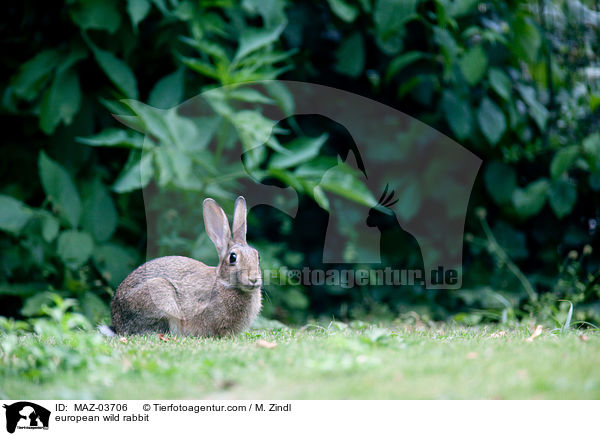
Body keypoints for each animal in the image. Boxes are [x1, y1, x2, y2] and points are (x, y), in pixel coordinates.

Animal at [111, 198, 262, 338]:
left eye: (257, 256)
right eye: (233, 258)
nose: (253, 279)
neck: (224, 282)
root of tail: (117, 321)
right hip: (160, 296)